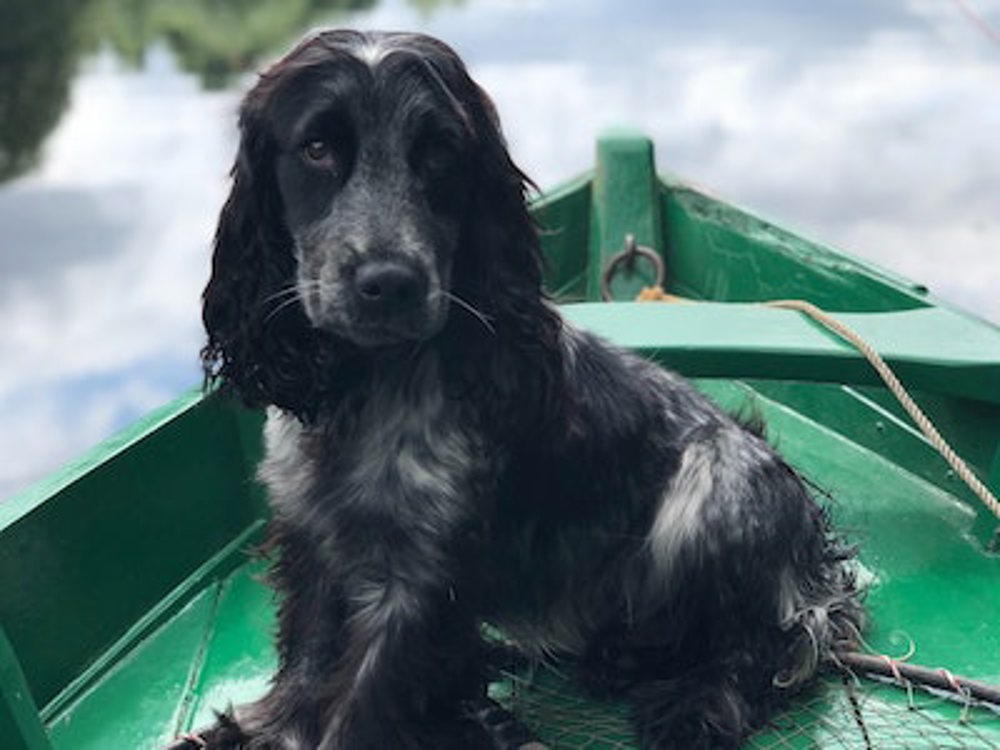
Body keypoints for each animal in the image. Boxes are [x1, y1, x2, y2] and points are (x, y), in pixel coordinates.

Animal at [186, 29, 860, 750]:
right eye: (317, 148)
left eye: (440, 152)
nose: (388, 282)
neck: (366, 388)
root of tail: (815, 556)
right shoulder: (313, 536)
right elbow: (307, 667)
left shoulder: (420, 582)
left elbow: (361, 708)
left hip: (710, 490)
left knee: (772, 643)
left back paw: (694, 702)